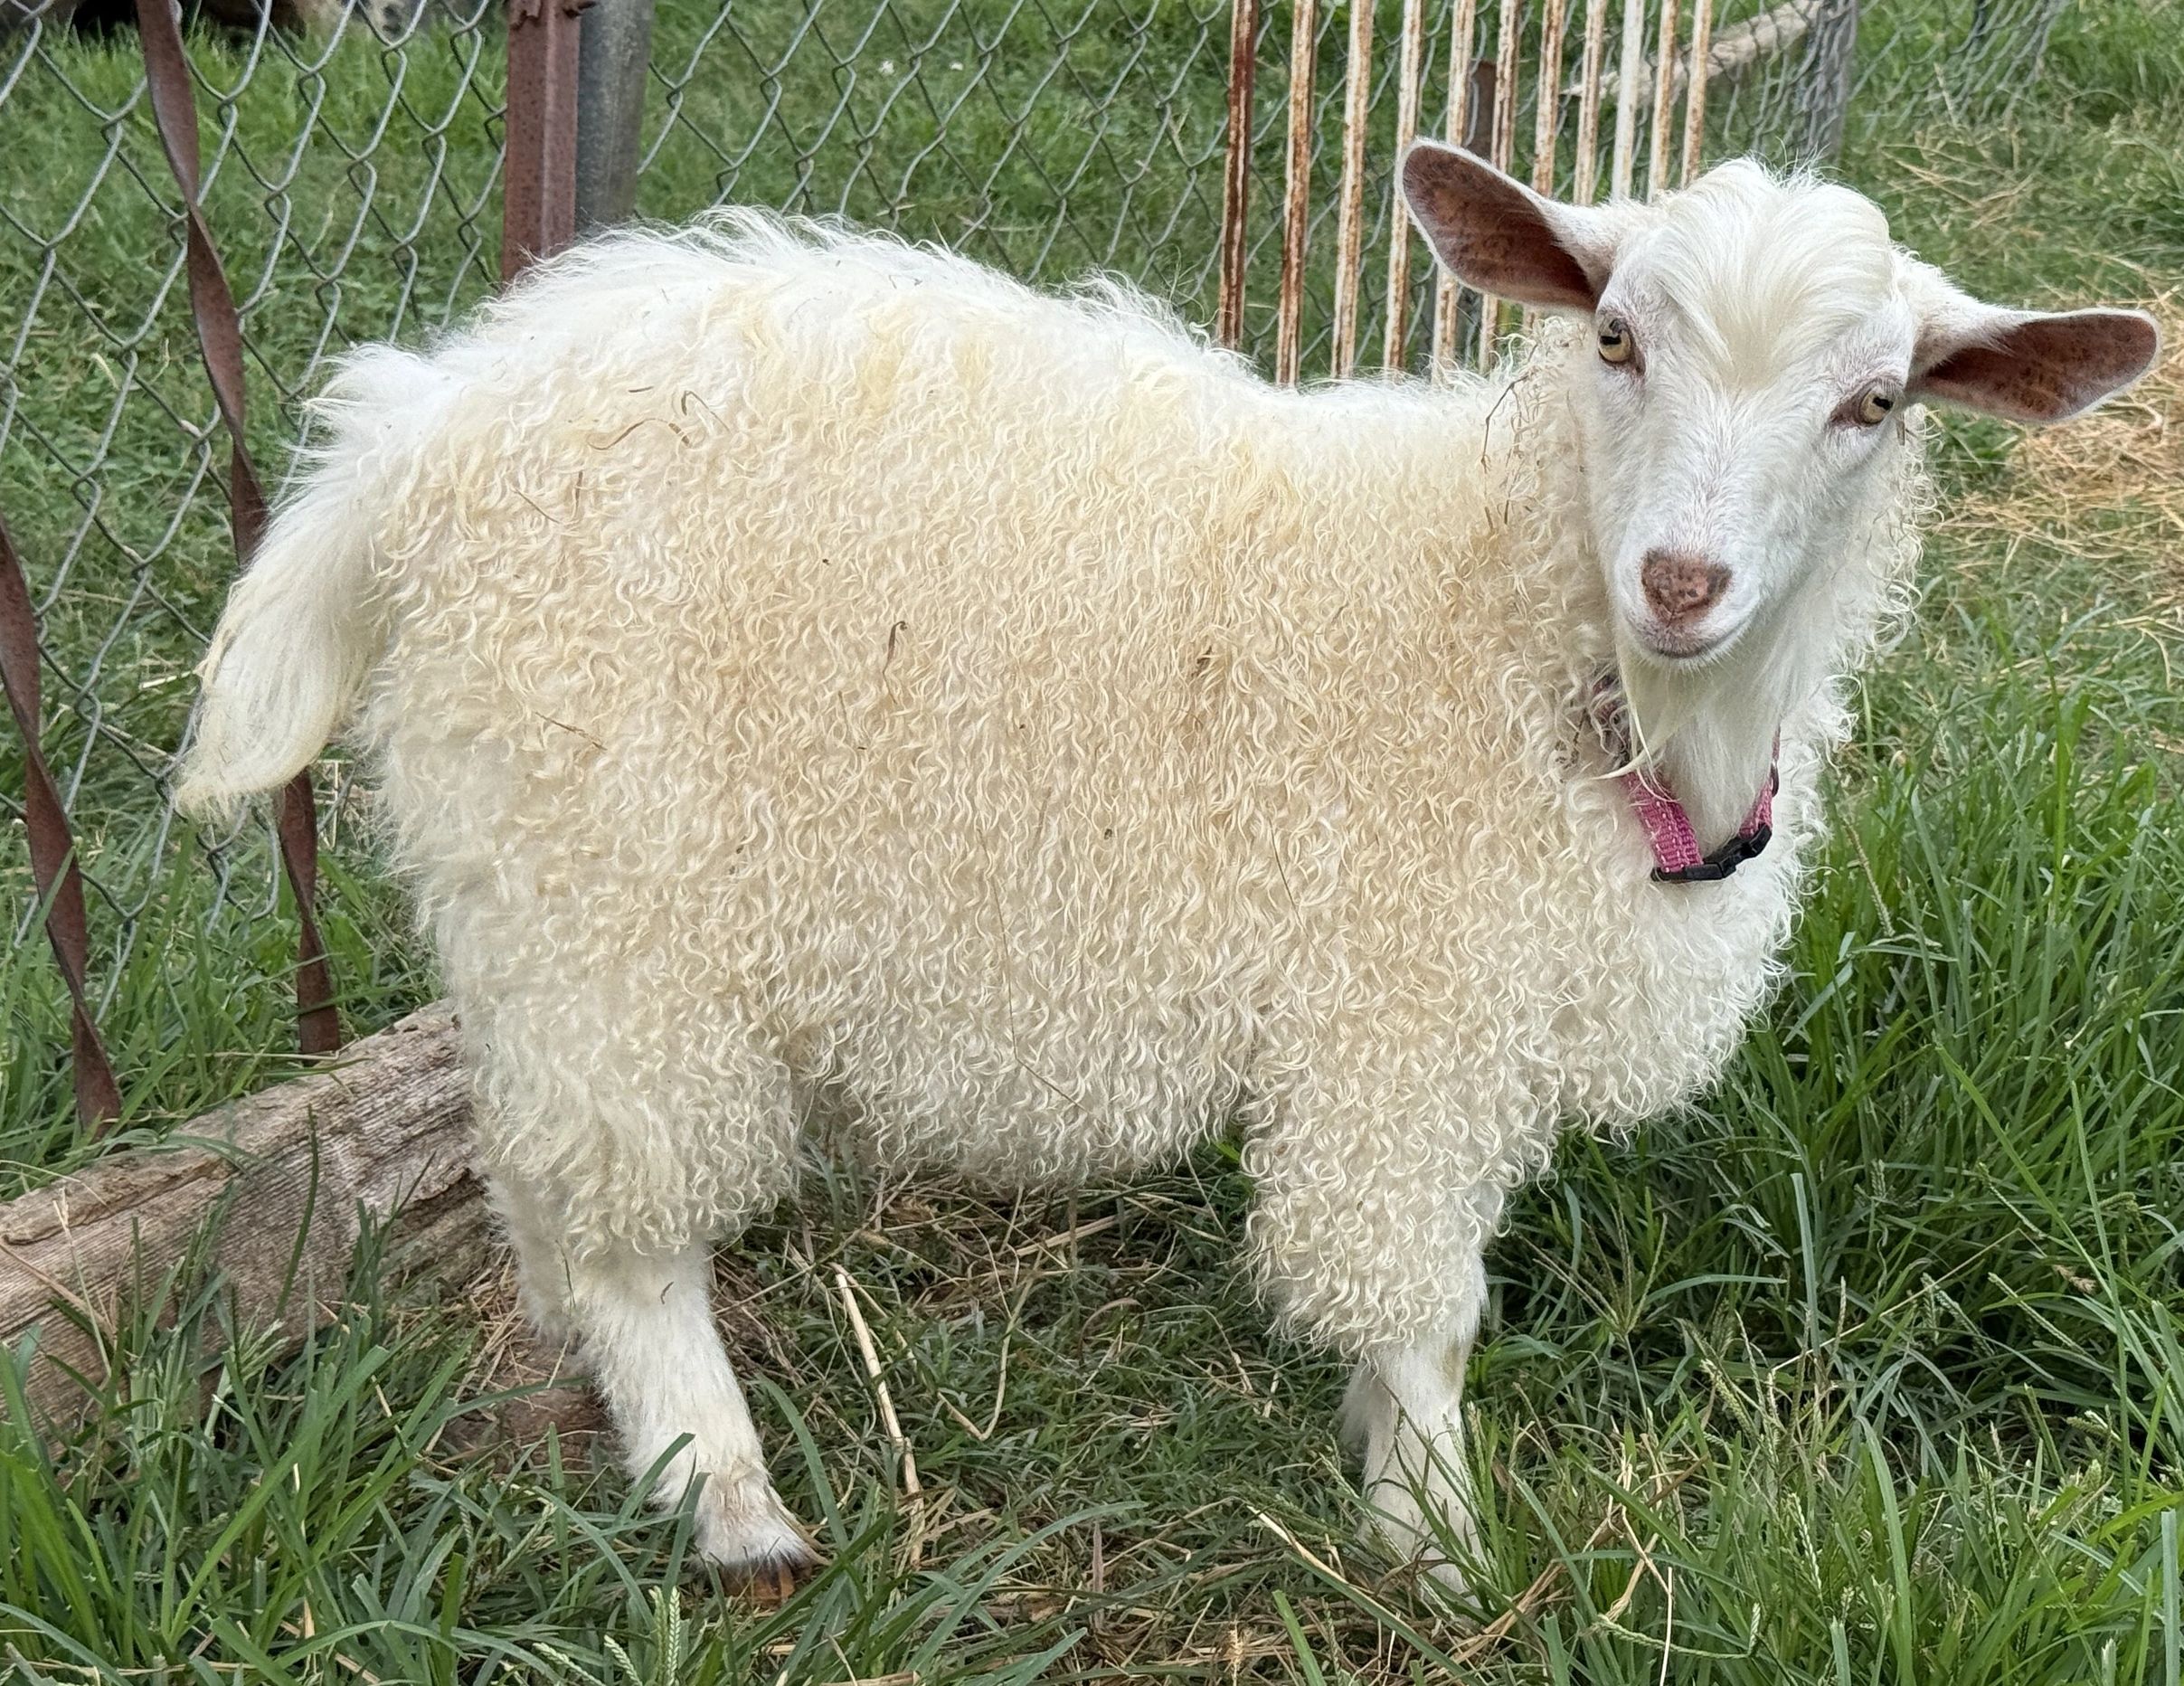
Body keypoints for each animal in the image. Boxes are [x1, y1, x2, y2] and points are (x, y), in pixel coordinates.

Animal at [177, 145, 2156, 1587]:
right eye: (1614, 338)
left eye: (1876, 400)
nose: (1683, 579)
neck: (1524, 629)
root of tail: (405, 431)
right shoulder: (1395, 1017)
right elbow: (1425, 1304)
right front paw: (1434, 1542)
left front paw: (1387, 1474)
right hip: (607, 884)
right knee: (623, 1223)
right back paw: (730, 1501)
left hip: (545, 902)